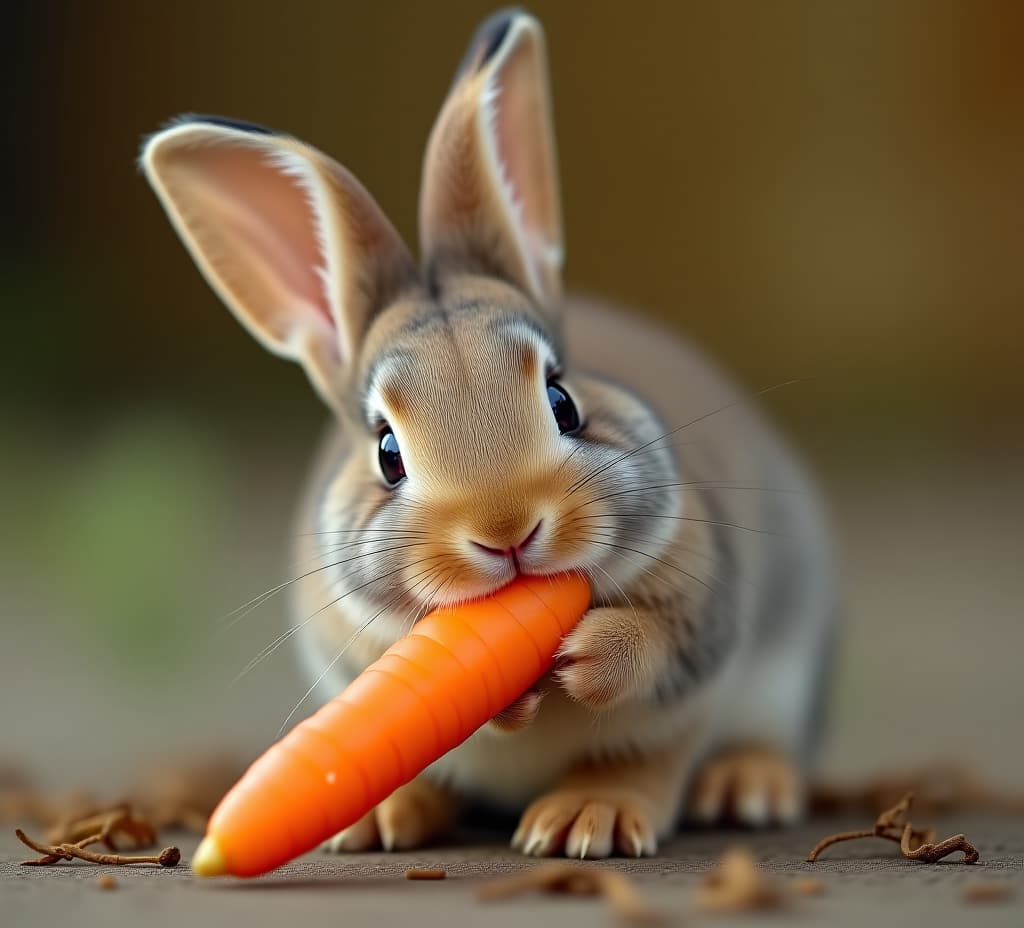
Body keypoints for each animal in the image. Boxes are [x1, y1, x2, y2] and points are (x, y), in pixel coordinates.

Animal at [142, 7, 831, 856]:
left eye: (563, 401)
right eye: (387, 453)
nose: (507, 530)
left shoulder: (700, 620)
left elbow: (652, 658)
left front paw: (582, 665)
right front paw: (506, 707)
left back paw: (659, 805)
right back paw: (383, 820)